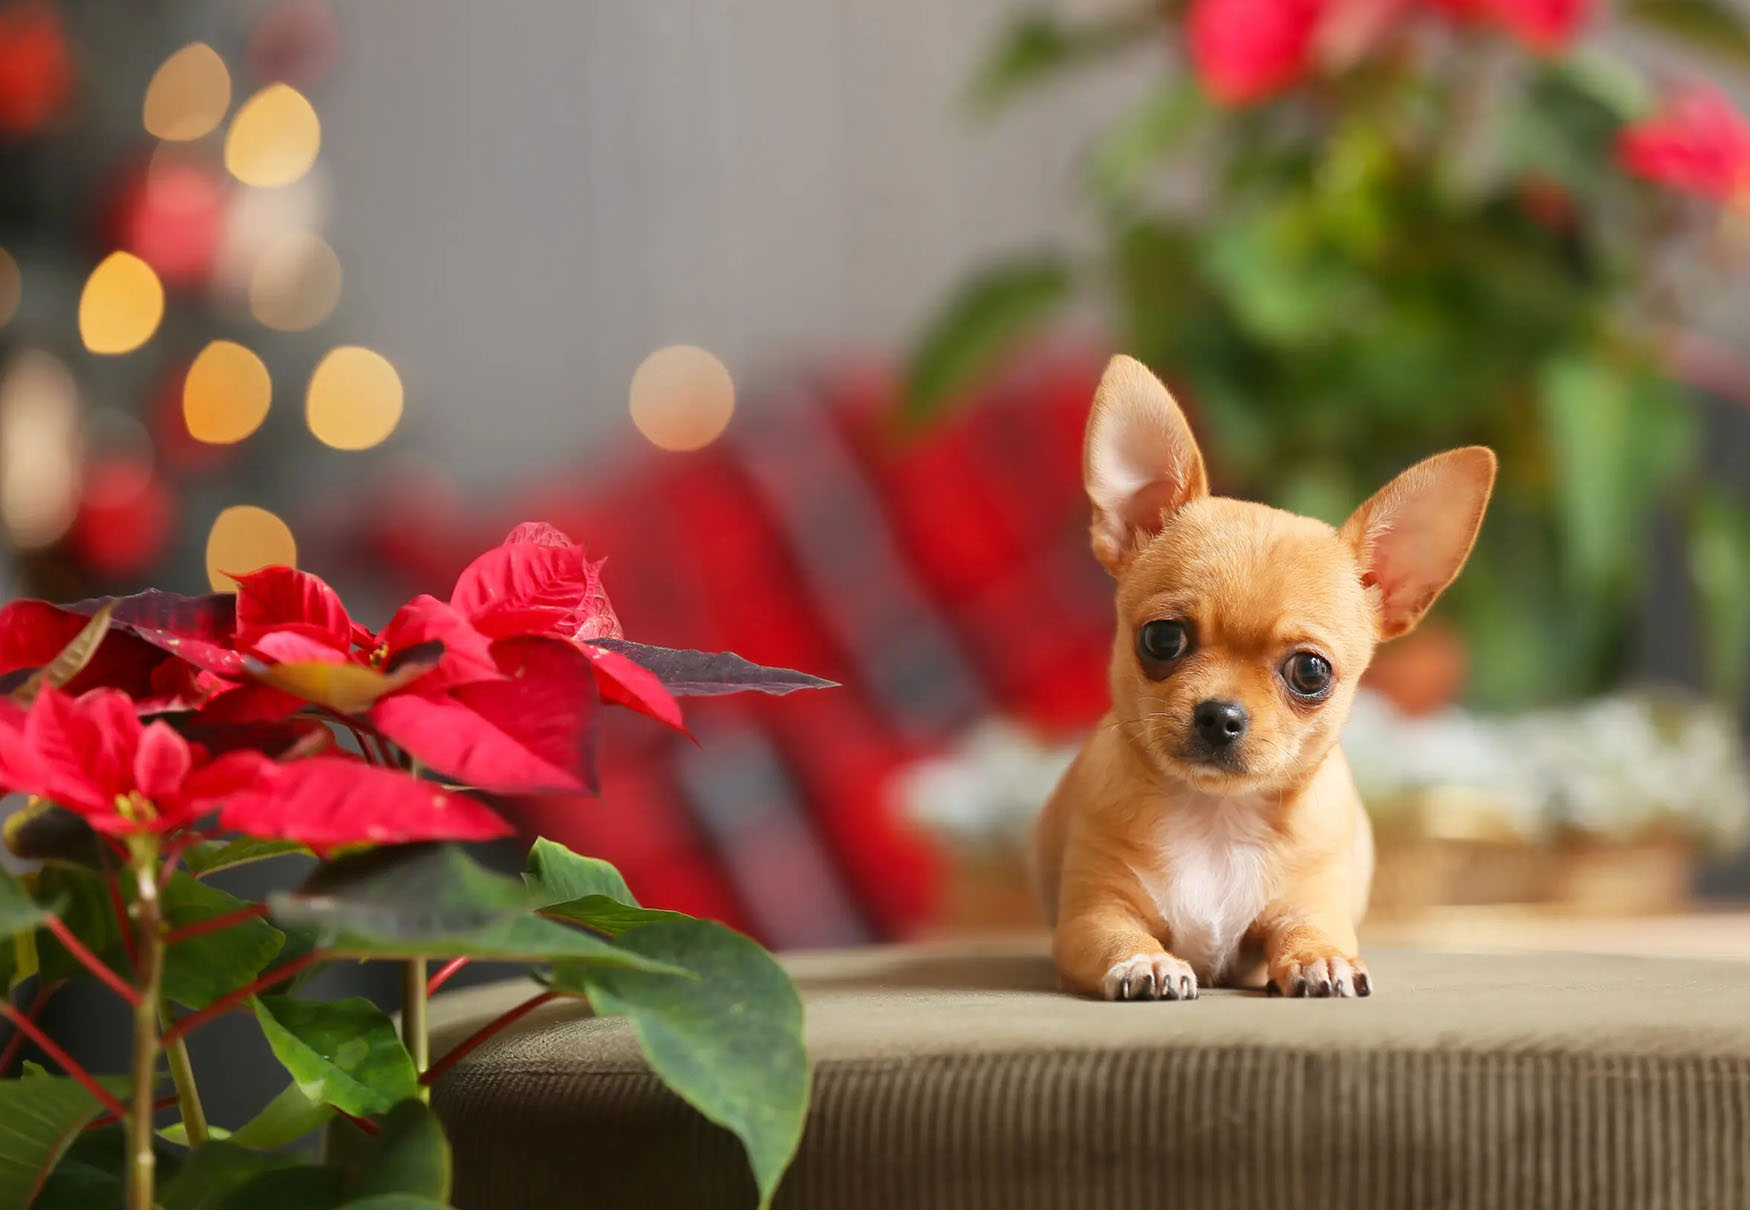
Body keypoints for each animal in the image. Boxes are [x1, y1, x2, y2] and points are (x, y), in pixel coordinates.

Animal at [1029, 355, 1498, 1001]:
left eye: (1310, 670)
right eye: (1162, 639)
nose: (1219, 715)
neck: (1215, 817)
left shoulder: (1309, 905)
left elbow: (1309, 932)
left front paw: (1322, 960)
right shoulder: (1094, 913)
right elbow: (1118, 938)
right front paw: (1148, 963)